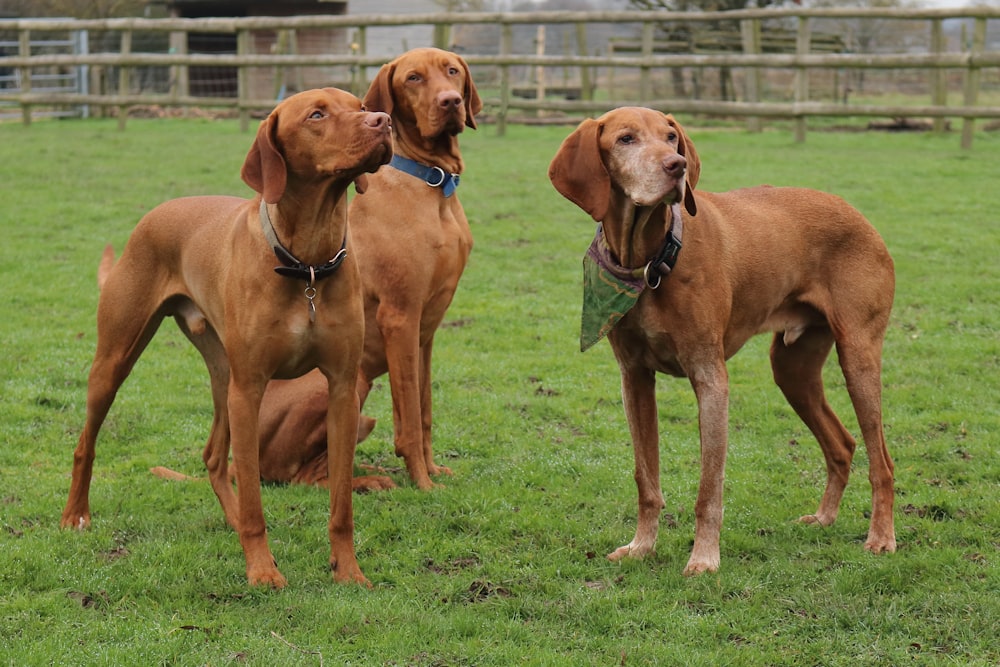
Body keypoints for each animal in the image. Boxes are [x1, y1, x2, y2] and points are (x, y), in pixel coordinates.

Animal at [57, 88, 394, 588]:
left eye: (360, 105)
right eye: (316, 115)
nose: (384, 121)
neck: (307, 264)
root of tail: (157, 211)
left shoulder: (341, 389)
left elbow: (341, 506)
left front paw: (348, 570)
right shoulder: (250, 389)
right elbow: (256, 499)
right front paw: (262, 571)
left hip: (222, 379)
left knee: (214, 456)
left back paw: (232, 521)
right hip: (118, 361)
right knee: (86, 443)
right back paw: (75, 515)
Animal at [250, 47, 484, 488]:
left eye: (452, 71)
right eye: (413, 78)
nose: (450, 102)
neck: (431, 183)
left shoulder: (425, 332)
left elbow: (423, 410)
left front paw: (431, 469)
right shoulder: (400, 317)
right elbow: (410, 416)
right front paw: (423, 483)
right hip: (348, 381)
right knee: (302, 477)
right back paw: (366, 482)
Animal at [548, 108, 900, 576]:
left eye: (671, 137)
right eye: (625, 139)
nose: (676, 166)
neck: (652, 257)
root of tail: (857, 213)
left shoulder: (710, 378)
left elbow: (708, 489)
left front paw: (704, 558)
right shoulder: (634, 379)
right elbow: (646, 479)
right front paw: (642, 546)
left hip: (858, 356)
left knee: (883, 462)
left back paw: (881, 537)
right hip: (792, 370)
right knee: (841, 444)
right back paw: (824, 517)